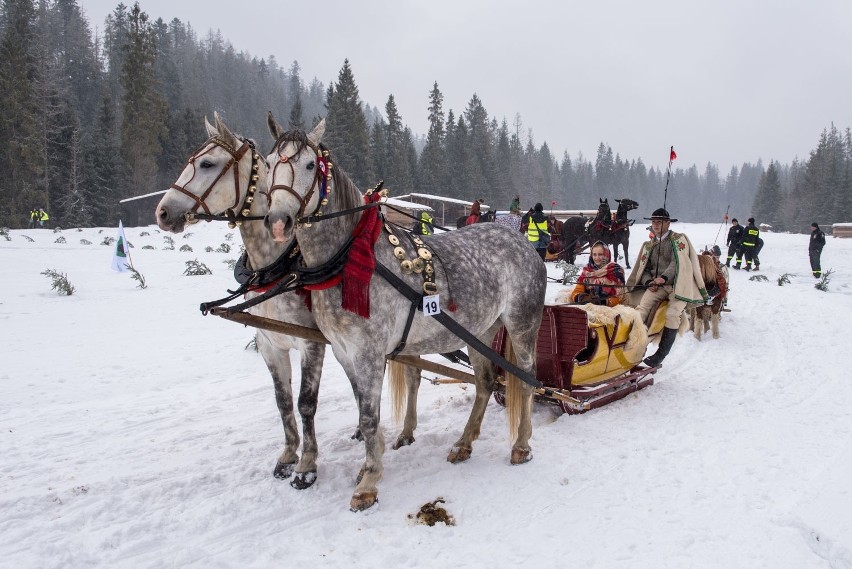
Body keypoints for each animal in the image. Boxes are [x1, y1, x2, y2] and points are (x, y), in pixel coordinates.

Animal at [262, 114, 544, 510]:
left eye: (308, 165)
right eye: (270, 163)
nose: (278, 222)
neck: (350, 259)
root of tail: (523, 243)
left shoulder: (369, 353)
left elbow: (368, 417)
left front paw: (368, 483)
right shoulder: (345, 352)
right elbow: (365, 412)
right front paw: (368, 466)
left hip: (522, 325)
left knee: (528, 378)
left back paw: (521, 445)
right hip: (482, 331)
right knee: (487, 381)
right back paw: (463, 443)